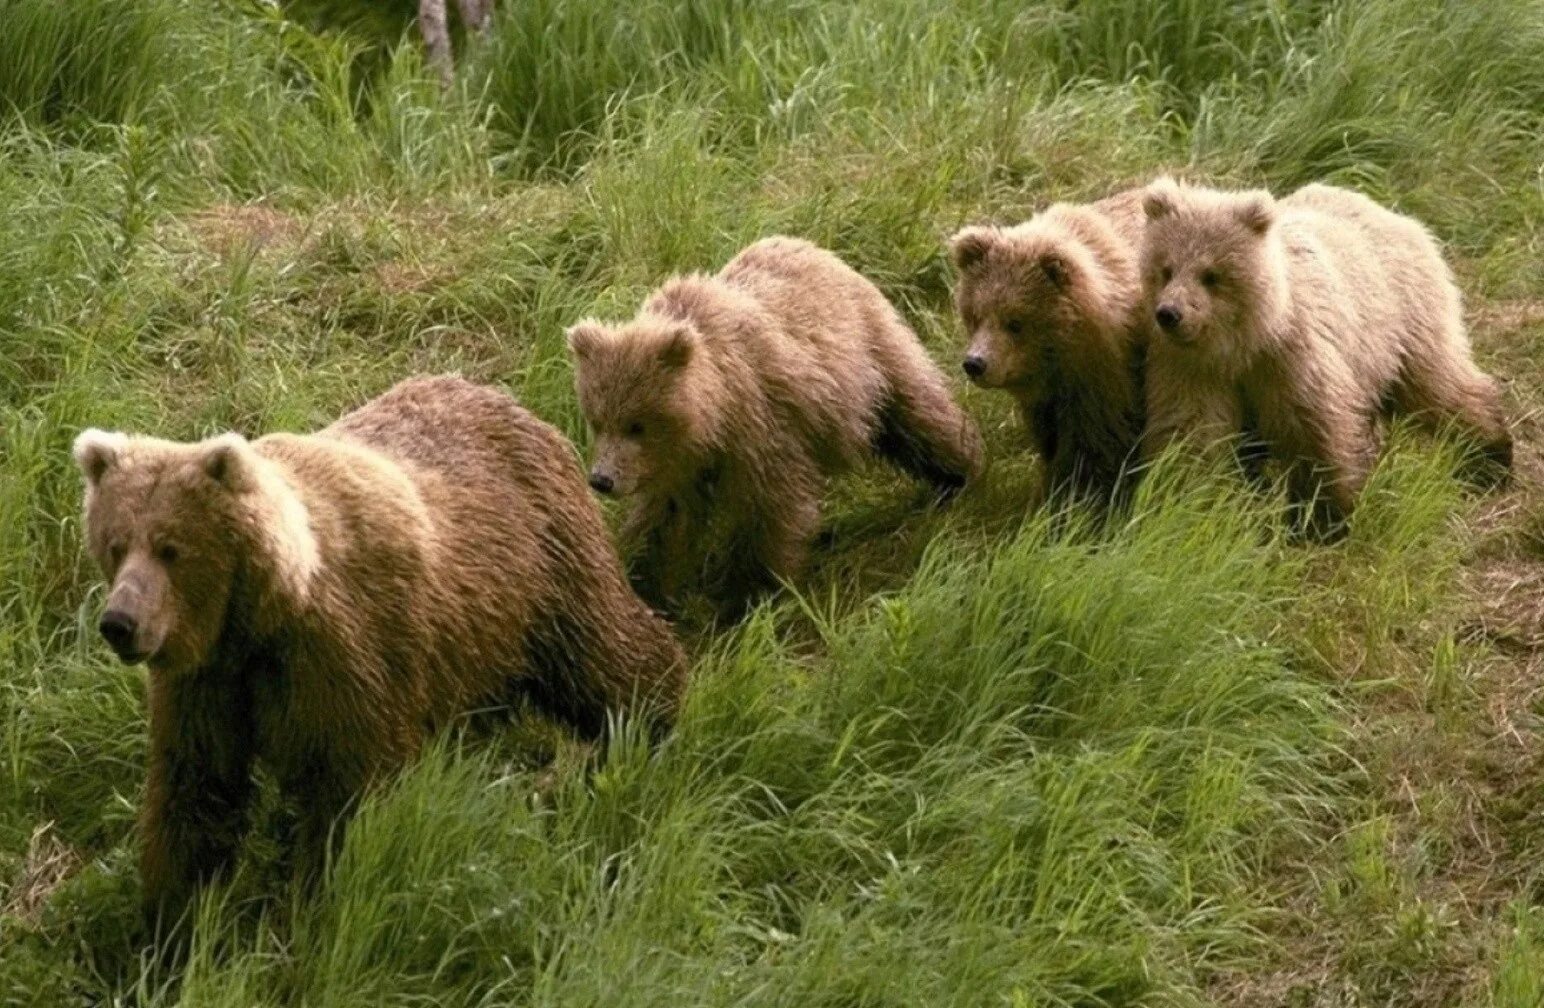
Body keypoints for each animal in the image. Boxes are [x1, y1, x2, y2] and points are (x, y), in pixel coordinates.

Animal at [71, 375, 688, 926]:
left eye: (172, 548)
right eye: (116, 543)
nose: (119, 623)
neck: (262, 621)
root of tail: (514, 403)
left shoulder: (347, 659)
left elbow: (350, 796)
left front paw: (315, 904)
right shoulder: (211, 684)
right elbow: (196, 792)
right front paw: (172, 921)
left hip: (544, 572)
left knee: (607, 655)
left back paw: (656, 719)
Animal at [565, 236, 975, 614]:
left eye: (636, 425)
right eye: (597, 420)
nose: (601, 479)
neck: (713, 418)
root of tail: (813, 247)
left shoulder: (763, 426)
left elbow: (775, 507)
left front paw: (750, 594)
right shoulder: (676, 467)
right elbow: (666, 522)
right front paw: (647, 587)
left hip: (869, 355)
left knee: (915, 409)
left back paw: (959, 471)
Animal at [938, 186, 1148, 506]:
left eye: (1015, 322)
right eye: (975, 315)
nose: (975, 364)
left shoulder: (1105, 378)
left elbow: (1096, 445)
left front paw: (1082, 494)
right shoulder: (1047, 399)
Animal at [1142, 177, 1513, 534]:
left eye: (1211, 275)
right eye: (1166, 268)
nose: (1170, 314)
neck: (1244, 344)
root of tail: (1395, 216)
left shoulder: (1294, 358)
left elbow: (1316, 430)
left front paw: (1321, 521)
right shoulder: (1194, 369)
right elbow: (1192, 433)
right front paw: (1186, 503)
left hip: (1403, 322)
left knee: (1439, 385)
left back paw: (1492, 458)